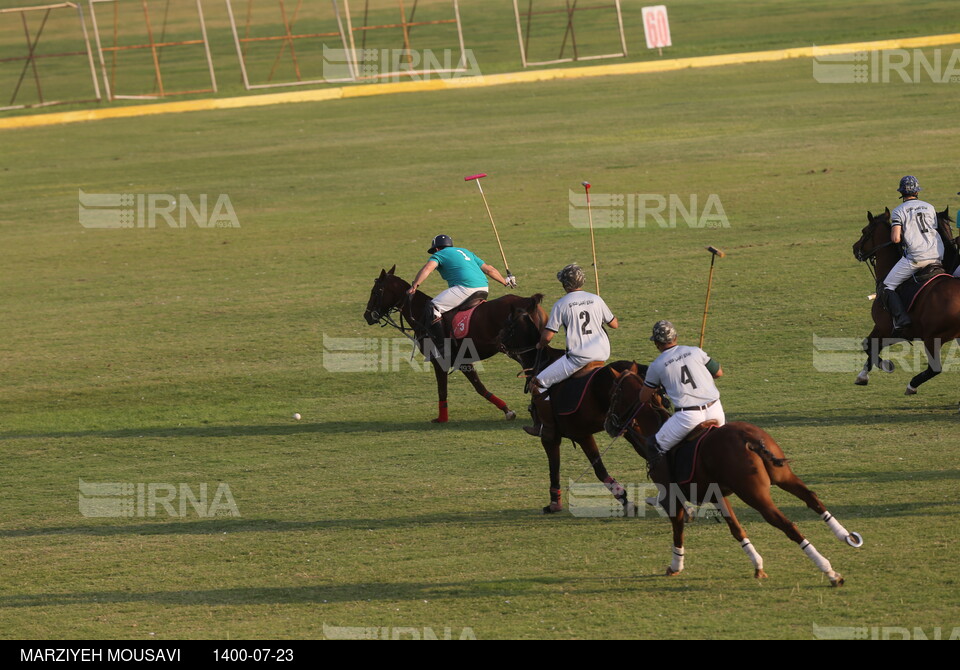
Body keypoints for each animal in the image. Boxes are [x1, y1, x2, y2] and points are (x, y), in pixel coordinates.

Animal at [362, 268, 544, 426]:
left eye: (375, 291)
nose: (367, 315)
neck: (421, 315)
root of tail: (529, 301)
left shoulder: (439, 360)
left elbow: (442, 390)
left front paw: (442, 418)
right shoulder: (463, 360)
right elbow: (479, 387)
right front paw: (507, 410)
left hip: (523, 350)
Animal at [496, 302, 644, 516]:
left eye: (508, 325)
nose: (496, 340)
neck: (541, 362)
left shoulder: (550, 436)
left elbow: (554, 469)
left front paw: (554, 503)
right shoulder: (582, 434)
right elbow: (600, 470)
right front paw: (625, 500)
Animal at [608, 372, 864, 588]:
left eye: (615, 393)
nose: (608, 424)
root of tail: (748, 438)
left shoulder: (673, 496)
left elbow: (678, 529)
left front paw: (675, 565)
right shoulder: (716, 494)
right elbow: (736, 528)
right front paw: (758, 565)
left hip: (753, 493)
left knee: (787, 524)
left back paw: (830, 572)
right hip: (783, 476)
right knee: (812, 499)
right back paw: (846, 537)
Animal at [852, 209, 956, 394]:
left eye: (864, 231)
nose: (854, 248)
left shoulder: (884, 327)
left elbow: (868, 345)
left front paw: (886, 366)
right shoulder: (898, 332)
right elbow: (870, 346)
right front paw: (862, 376)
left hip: (933, 338)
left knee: (935, 368)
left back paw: (911, 385)